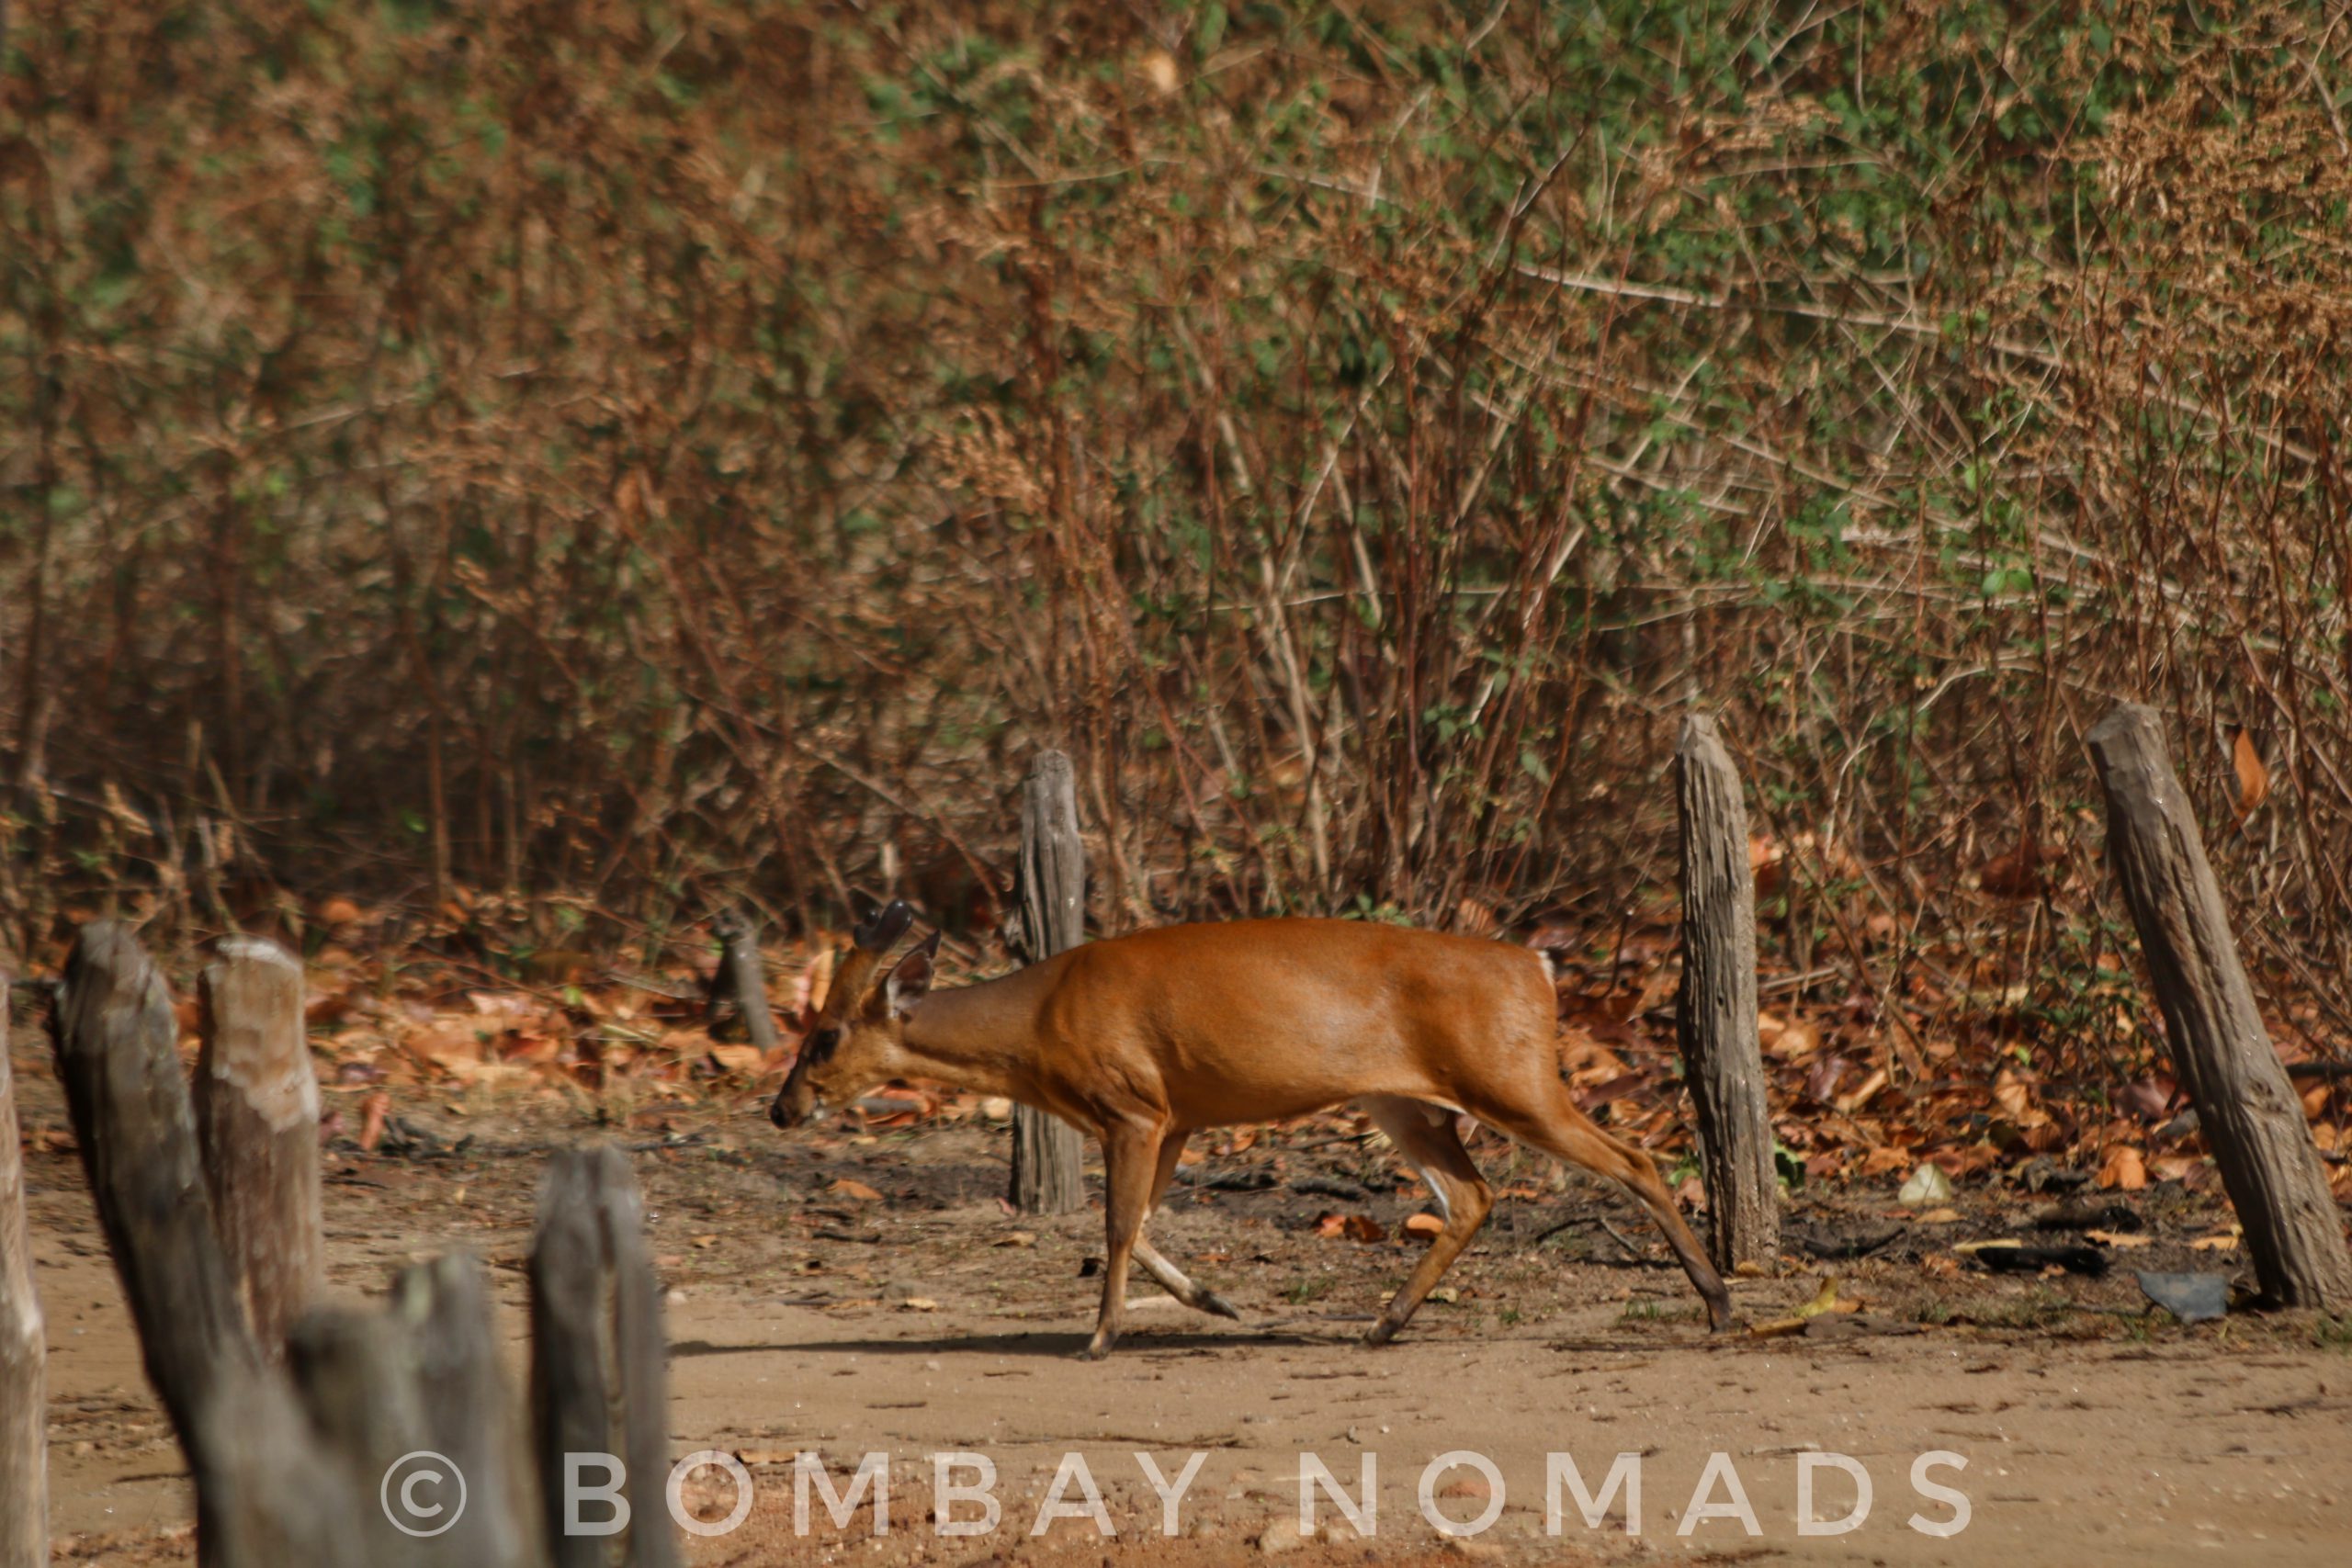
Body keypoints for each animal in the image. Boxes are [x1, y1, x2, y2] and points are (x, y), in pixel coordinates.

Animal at [771, 902, 1731, 1354]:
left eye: (824, 1035)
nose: (783, 1106)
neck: (1041, 1023)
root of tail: (1537, 966)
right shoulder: (1174, 1114)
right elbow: (1138, 1223)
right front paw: (1216, 1299)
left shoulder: (1132, 1103)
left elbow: (1115, 1225)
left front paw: (1099, 1338)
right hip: (1402, 1099)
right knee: (1472, 1194)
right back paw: (1382, 1325)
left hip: (1512, 1077)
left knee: (1635, 1157)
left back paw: (1718, 1301)